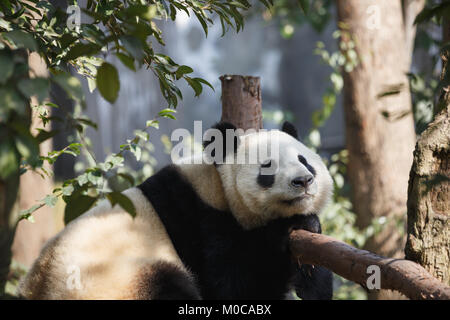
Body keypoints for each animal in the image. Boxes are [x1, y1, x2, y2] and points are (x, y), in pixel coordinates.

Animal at [20, 120, 334, 300]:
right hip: (119, 279)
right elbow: (236, 286)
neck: (216, 184)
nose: (303, 180)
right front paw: (292, 227)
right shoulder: (200, 221)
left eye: (304, 160)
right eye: (267, 167)